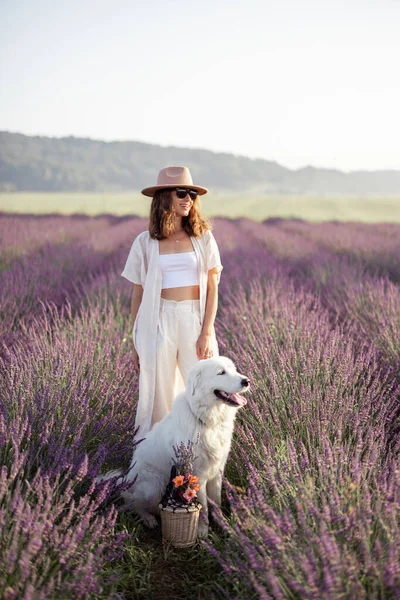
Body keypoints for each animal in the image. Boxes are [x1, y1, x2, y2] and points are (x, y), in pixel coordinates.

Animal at [99, 356, 248, 540]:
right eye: (221, 372)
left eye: (233, 369)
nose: (246, 381)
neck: (206, 419)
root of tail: (127, 479)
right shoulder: (198, 475)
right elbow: (204, 507)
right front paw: (202, 532)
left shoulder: (217, 472)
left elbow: (217, 503)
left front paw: (225, 526)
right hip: (154, 485)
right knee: (133, 503)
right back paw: (148, 519)